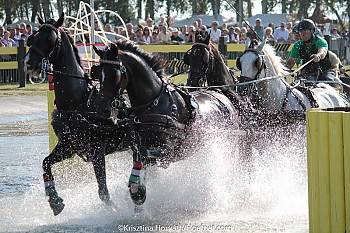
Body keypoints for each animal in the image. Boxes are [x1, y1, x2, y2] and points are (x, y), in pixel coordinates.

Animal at [23, 13, 127, 216]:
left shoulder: (97, 151)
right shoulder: (68, 147)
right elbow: (45, 164)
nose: (29, 63)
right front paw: (55, 200)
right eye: (32, 37)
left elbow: (103, 190)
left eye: (49, 39)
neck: (79, 102)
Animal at [94, 41, 239, 208]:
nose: (101, 108)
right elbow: (139, 166)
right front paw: (137, 196)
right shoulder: (138, 146)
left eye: (114, 74)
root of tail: (220, 92)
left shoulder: (166, 153)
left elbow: (145, 158)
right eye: (98, 73)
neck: (153, 104)